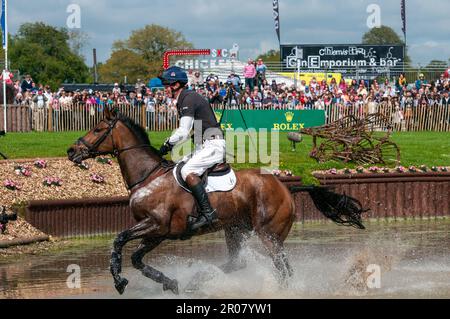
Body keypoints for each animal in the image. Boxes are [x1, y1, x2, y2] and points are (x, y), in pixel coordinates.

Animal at [67, 108, 370, 298]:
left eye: (97, 129)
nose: (71, 151)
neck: (148, 177)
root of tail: (286, 187)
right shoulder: (158, 233)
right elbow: (136, 258)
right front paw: (170, 282)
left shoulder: (157, 225)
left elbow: (118, 241)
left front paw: (119, 281)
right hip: (235, 229)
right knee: (237, 262)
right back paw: (197, 280)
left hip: (269, 235)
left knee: (283, 268)